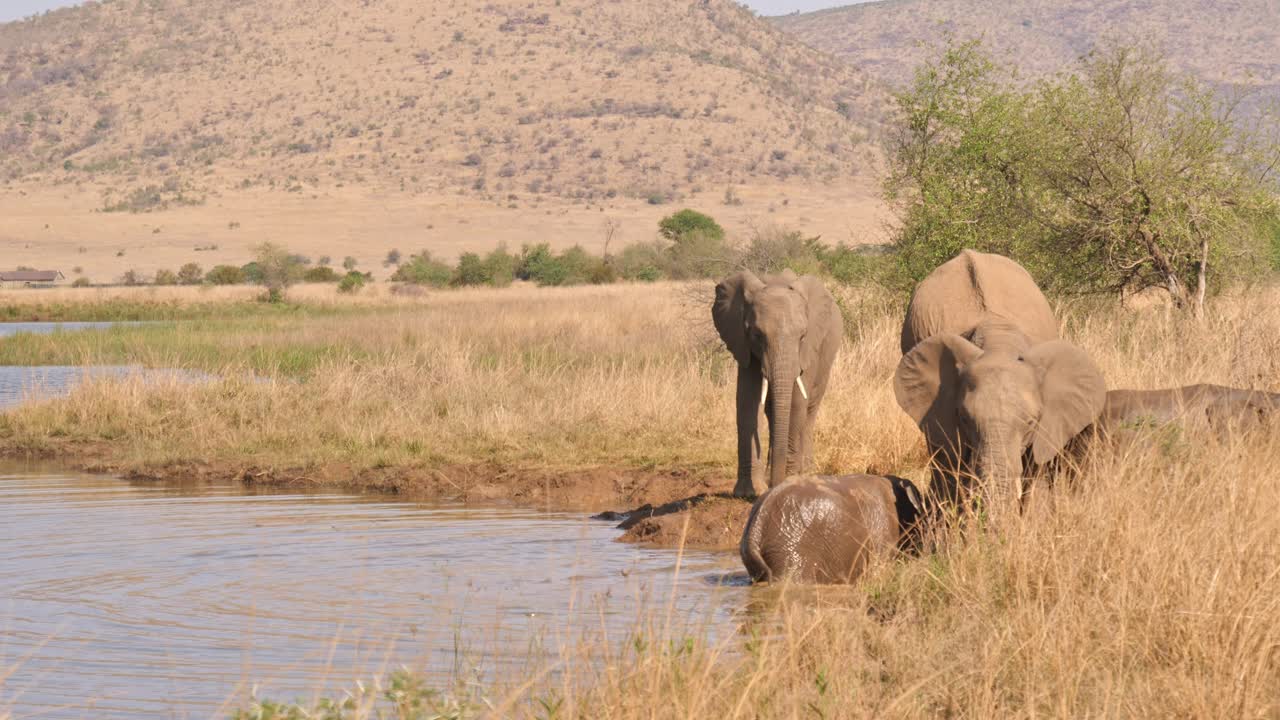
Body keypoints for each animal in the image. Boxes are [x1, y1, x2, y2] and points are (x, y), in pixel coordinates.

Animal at [713, 269, 842, 497]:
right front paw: (748, 492)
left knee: (810, 411)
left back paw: (806, 470)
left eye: (802, 336)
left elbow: (796, 403)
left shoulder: (808, 349)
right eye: (757, 335)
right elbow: (746, 403)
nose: (775, 485)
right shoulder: (743, 344)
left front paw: (790, 481)